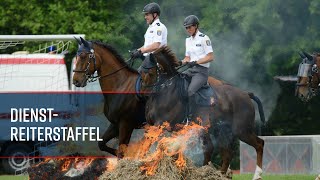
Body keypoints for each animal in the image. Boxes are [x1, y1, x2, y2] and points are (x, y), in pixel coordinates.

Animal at [141, 46, 266, 179]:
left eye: (151, 73)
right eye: (140, 72)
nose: (143, 94)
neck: (166, 89)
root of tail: (246, 94)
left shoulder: (160, 124)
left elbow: (157, 144)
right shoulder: (152, 125)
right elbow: (147, 143)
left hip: (241, 130)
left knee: (259, 144)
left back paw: (257, 175)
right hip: (221, 132)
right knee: (226, 153)